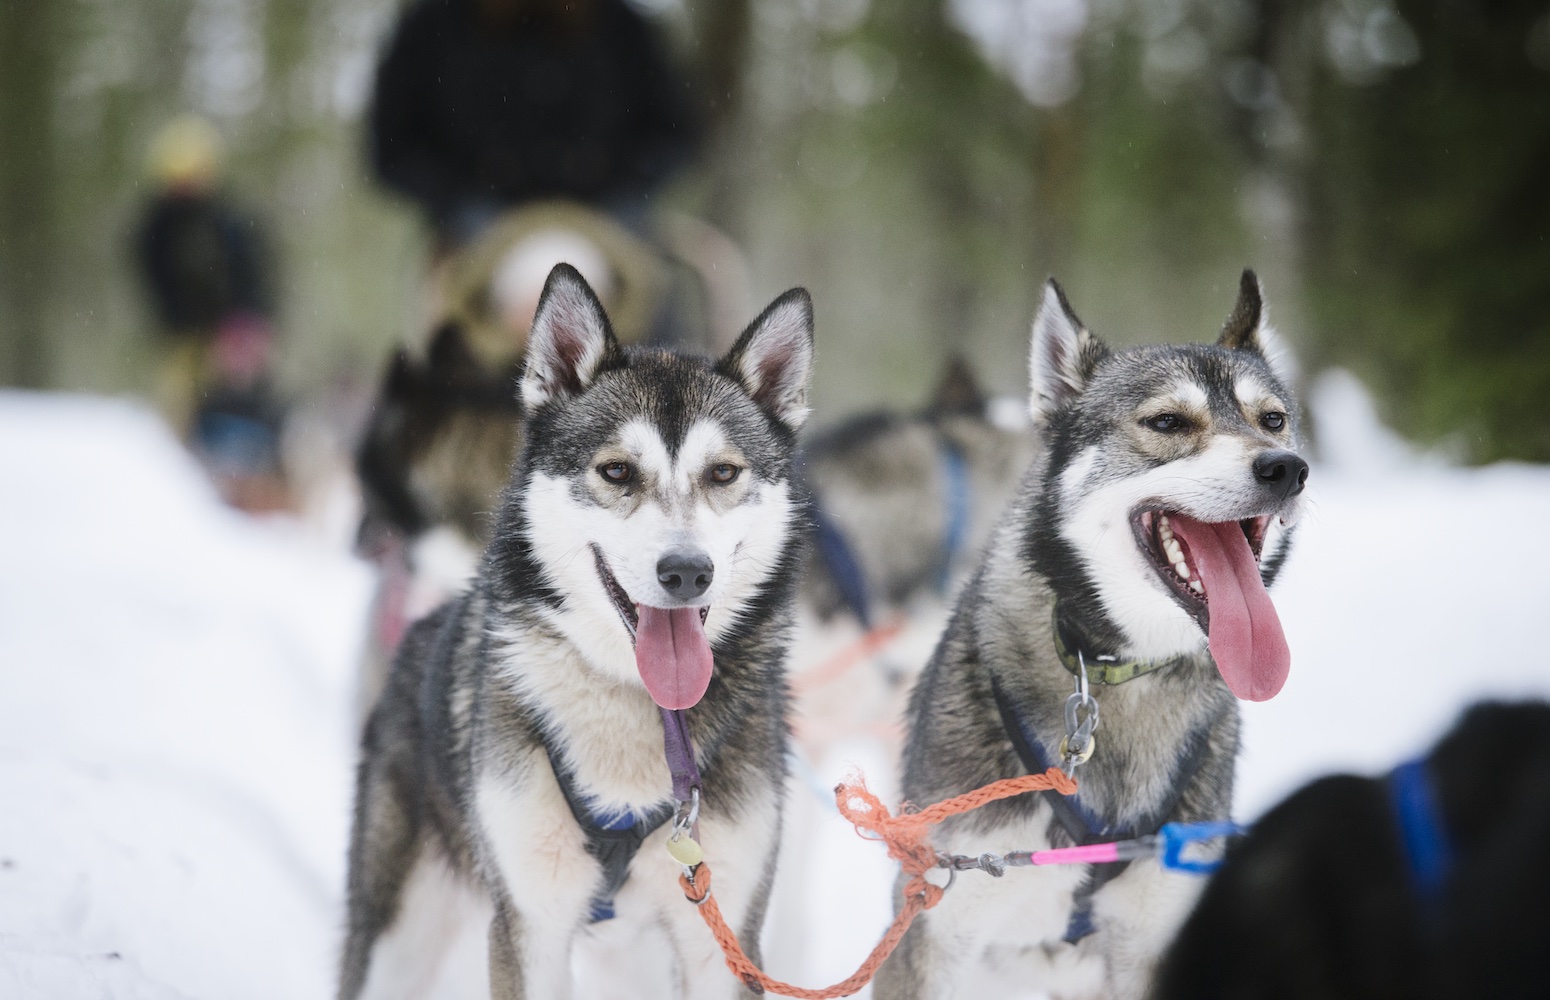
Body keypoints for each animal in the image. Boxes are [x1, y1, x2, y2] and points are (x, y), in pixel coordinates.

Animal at [339, 262, 818, 992]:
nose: (687, 571)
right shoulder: (529, 925)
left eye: (723, 473)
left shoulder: (723, 935)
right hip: (398, 937)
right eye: (617, 470)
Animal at [880, 272, 1302, 998]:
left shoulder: (1155, 940)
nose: (1286, 467)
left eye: (1271, 419)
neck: (1115, 670)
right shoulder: (933, 929)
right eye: (1168, 422)